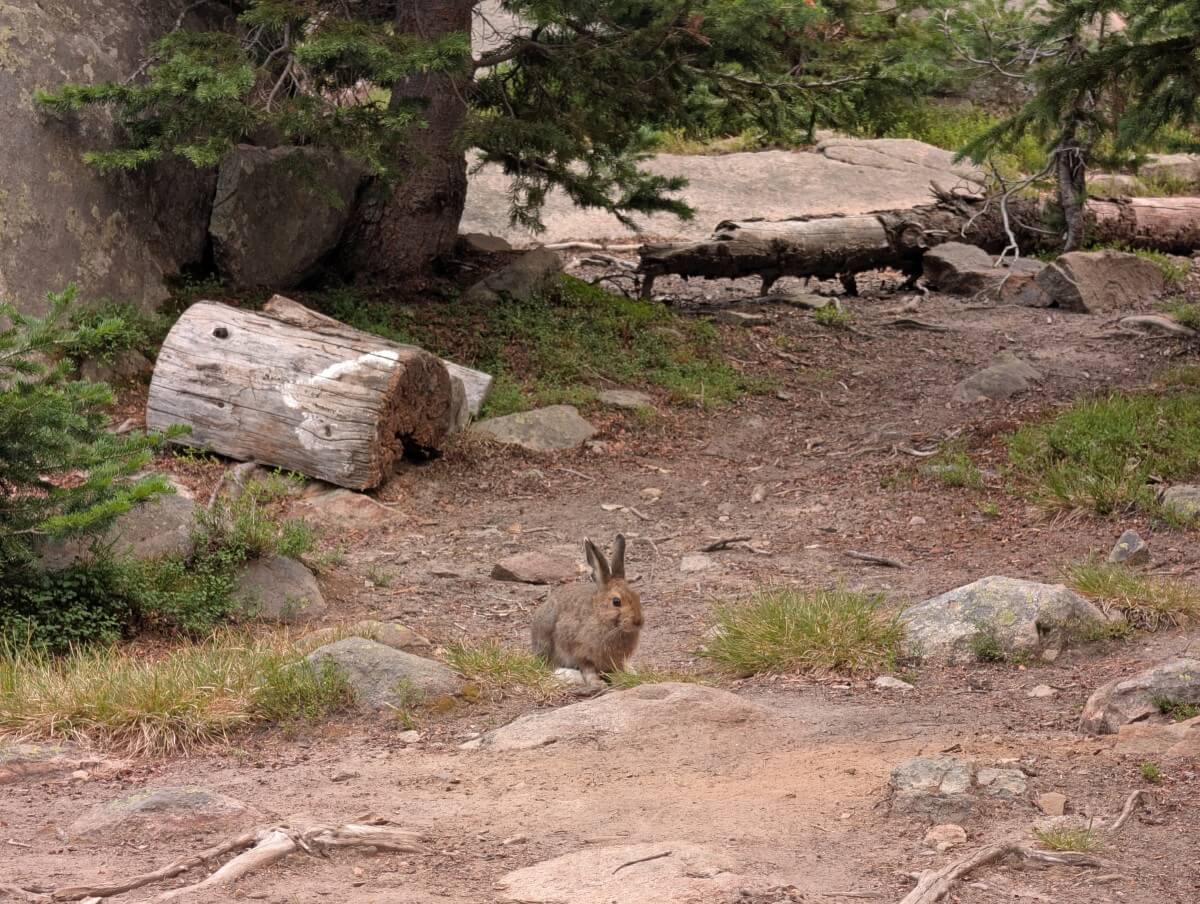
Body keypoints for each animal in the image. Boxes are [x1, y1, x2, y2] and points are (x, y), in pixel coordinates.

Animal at [530, 534, 643, 688]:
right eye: (616, 602)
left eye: (637, 596)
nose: (638, 622)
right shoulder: (580, 652)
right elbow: (587, 669)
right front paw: (597, 683)